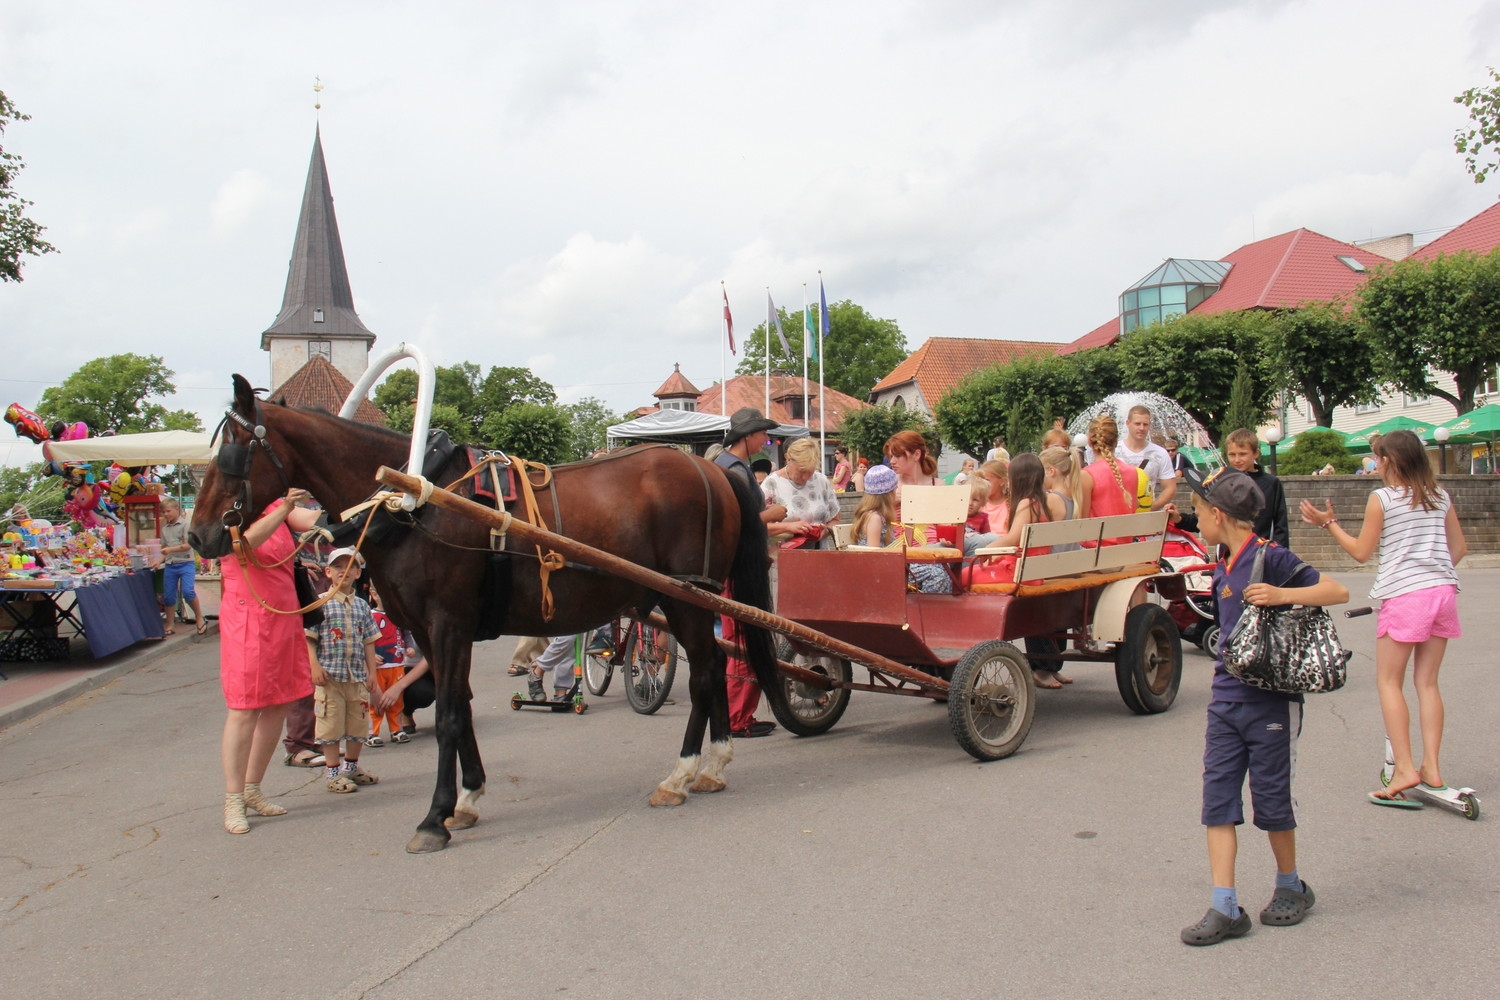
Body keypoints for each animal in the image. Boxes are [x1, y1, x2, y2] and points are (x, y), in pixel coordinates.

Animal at [193, 374, 780, 851]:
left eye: (233, 454)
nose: (199, 537)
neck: (414, 502)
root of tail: (709, 469)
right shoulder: (428, 632)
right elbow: (464, 707)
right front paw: (467, 800)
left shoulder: (448, 624)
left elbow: (449, 715)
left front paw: (434, 818)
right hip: (685, 601)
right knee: (713, 669)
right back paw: (712, 766)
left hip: (687, 598)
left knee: (704, 674)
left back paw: (682, 774)